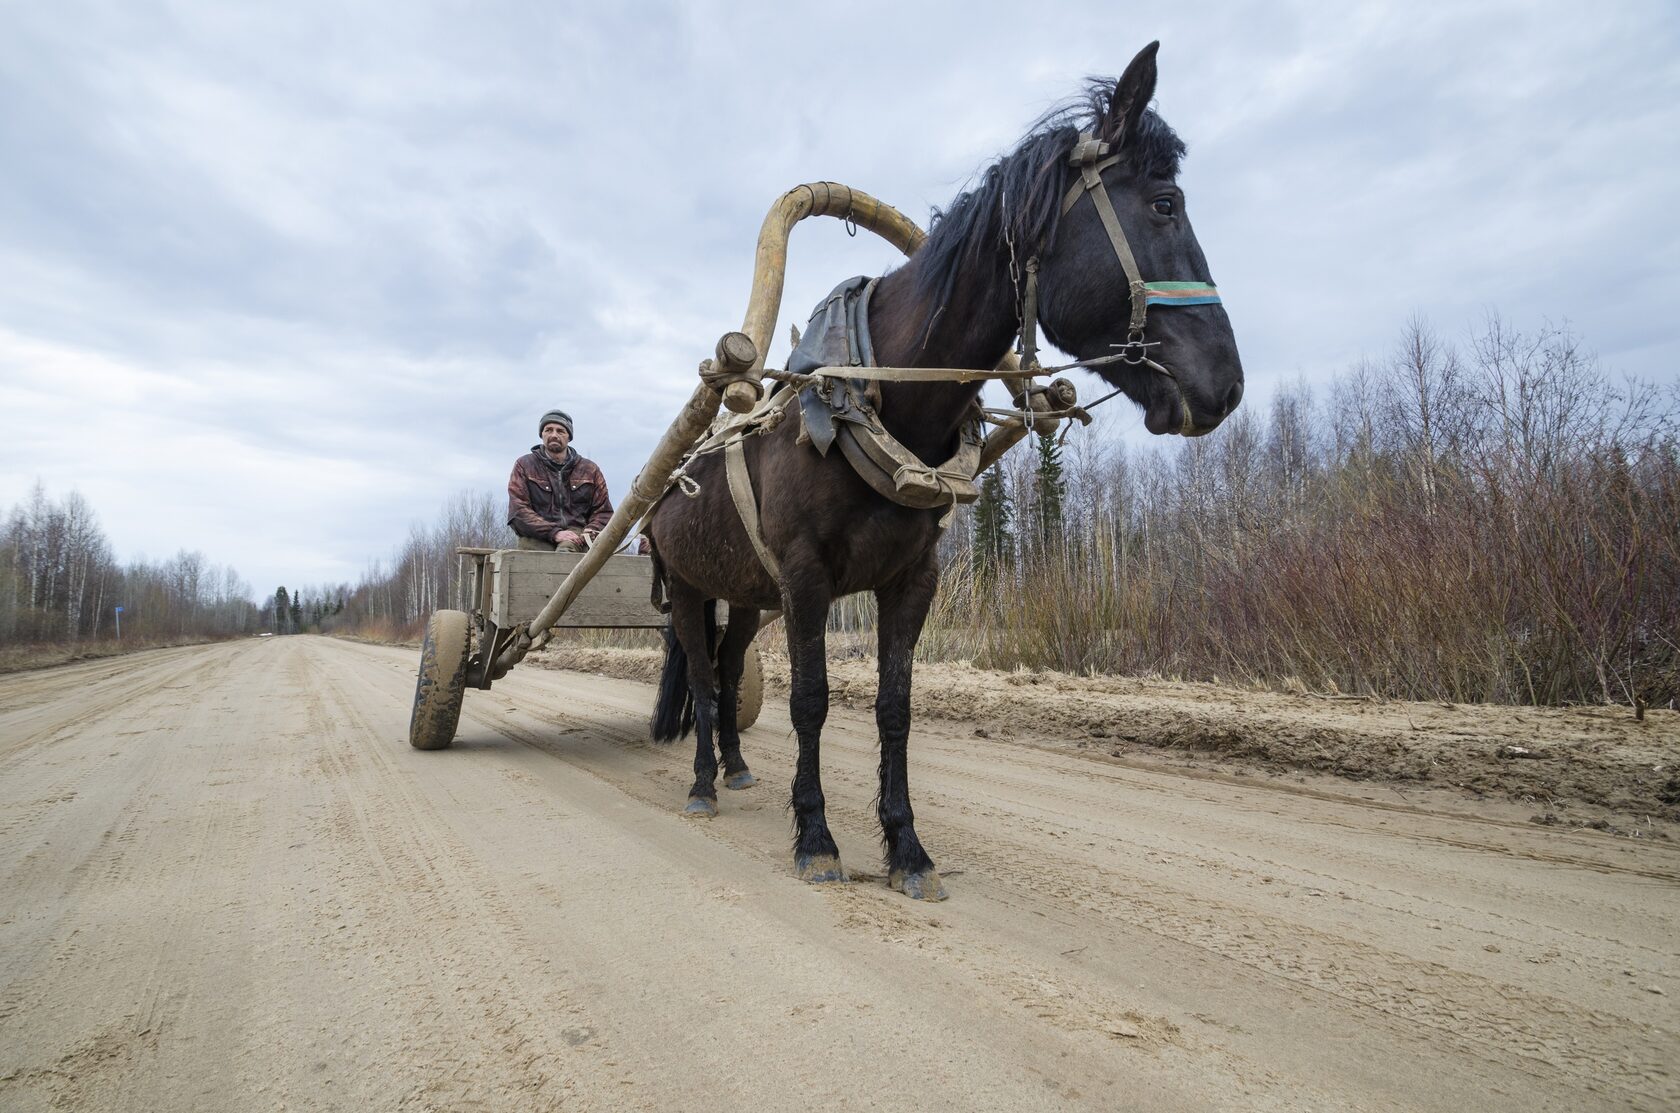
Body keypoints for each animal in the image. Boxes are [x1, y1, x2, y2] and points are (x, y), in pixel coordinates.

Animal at [648, 43, 1243, 901]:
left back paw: (733, 766)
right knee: (699, 676)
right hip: (693, 587)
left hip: (747, 593)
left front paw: (907, 846)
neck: (881, 397)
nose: (1225, 385)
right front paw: (817, 837)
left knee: (727, 674)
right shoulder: (804, 578)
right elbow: (811, 701)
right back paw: (701, 781)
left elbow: (894, 708)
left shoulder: (911, 578)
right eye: (1165, 205)